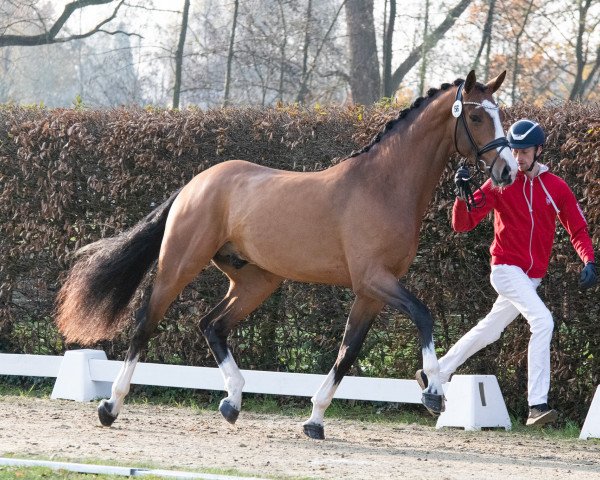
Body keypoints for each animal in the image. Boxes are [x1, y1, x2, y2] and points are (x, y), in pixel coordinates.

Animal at [55, 69, 516, 440]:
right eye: (477, 116)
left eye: (500, 116)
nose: (508, 170)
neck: (384, 186)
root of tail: (195, 184)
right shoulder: (374, 279)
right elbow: (422, 314)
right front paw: (432, 389)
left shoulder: (370, 293)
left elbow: (347, 353)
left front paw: (315, 420)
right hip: (179, 265)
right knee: (144, 326)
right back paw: (111, 406)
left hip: (257, 280)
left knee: (212, 325)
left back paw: (232, 402)